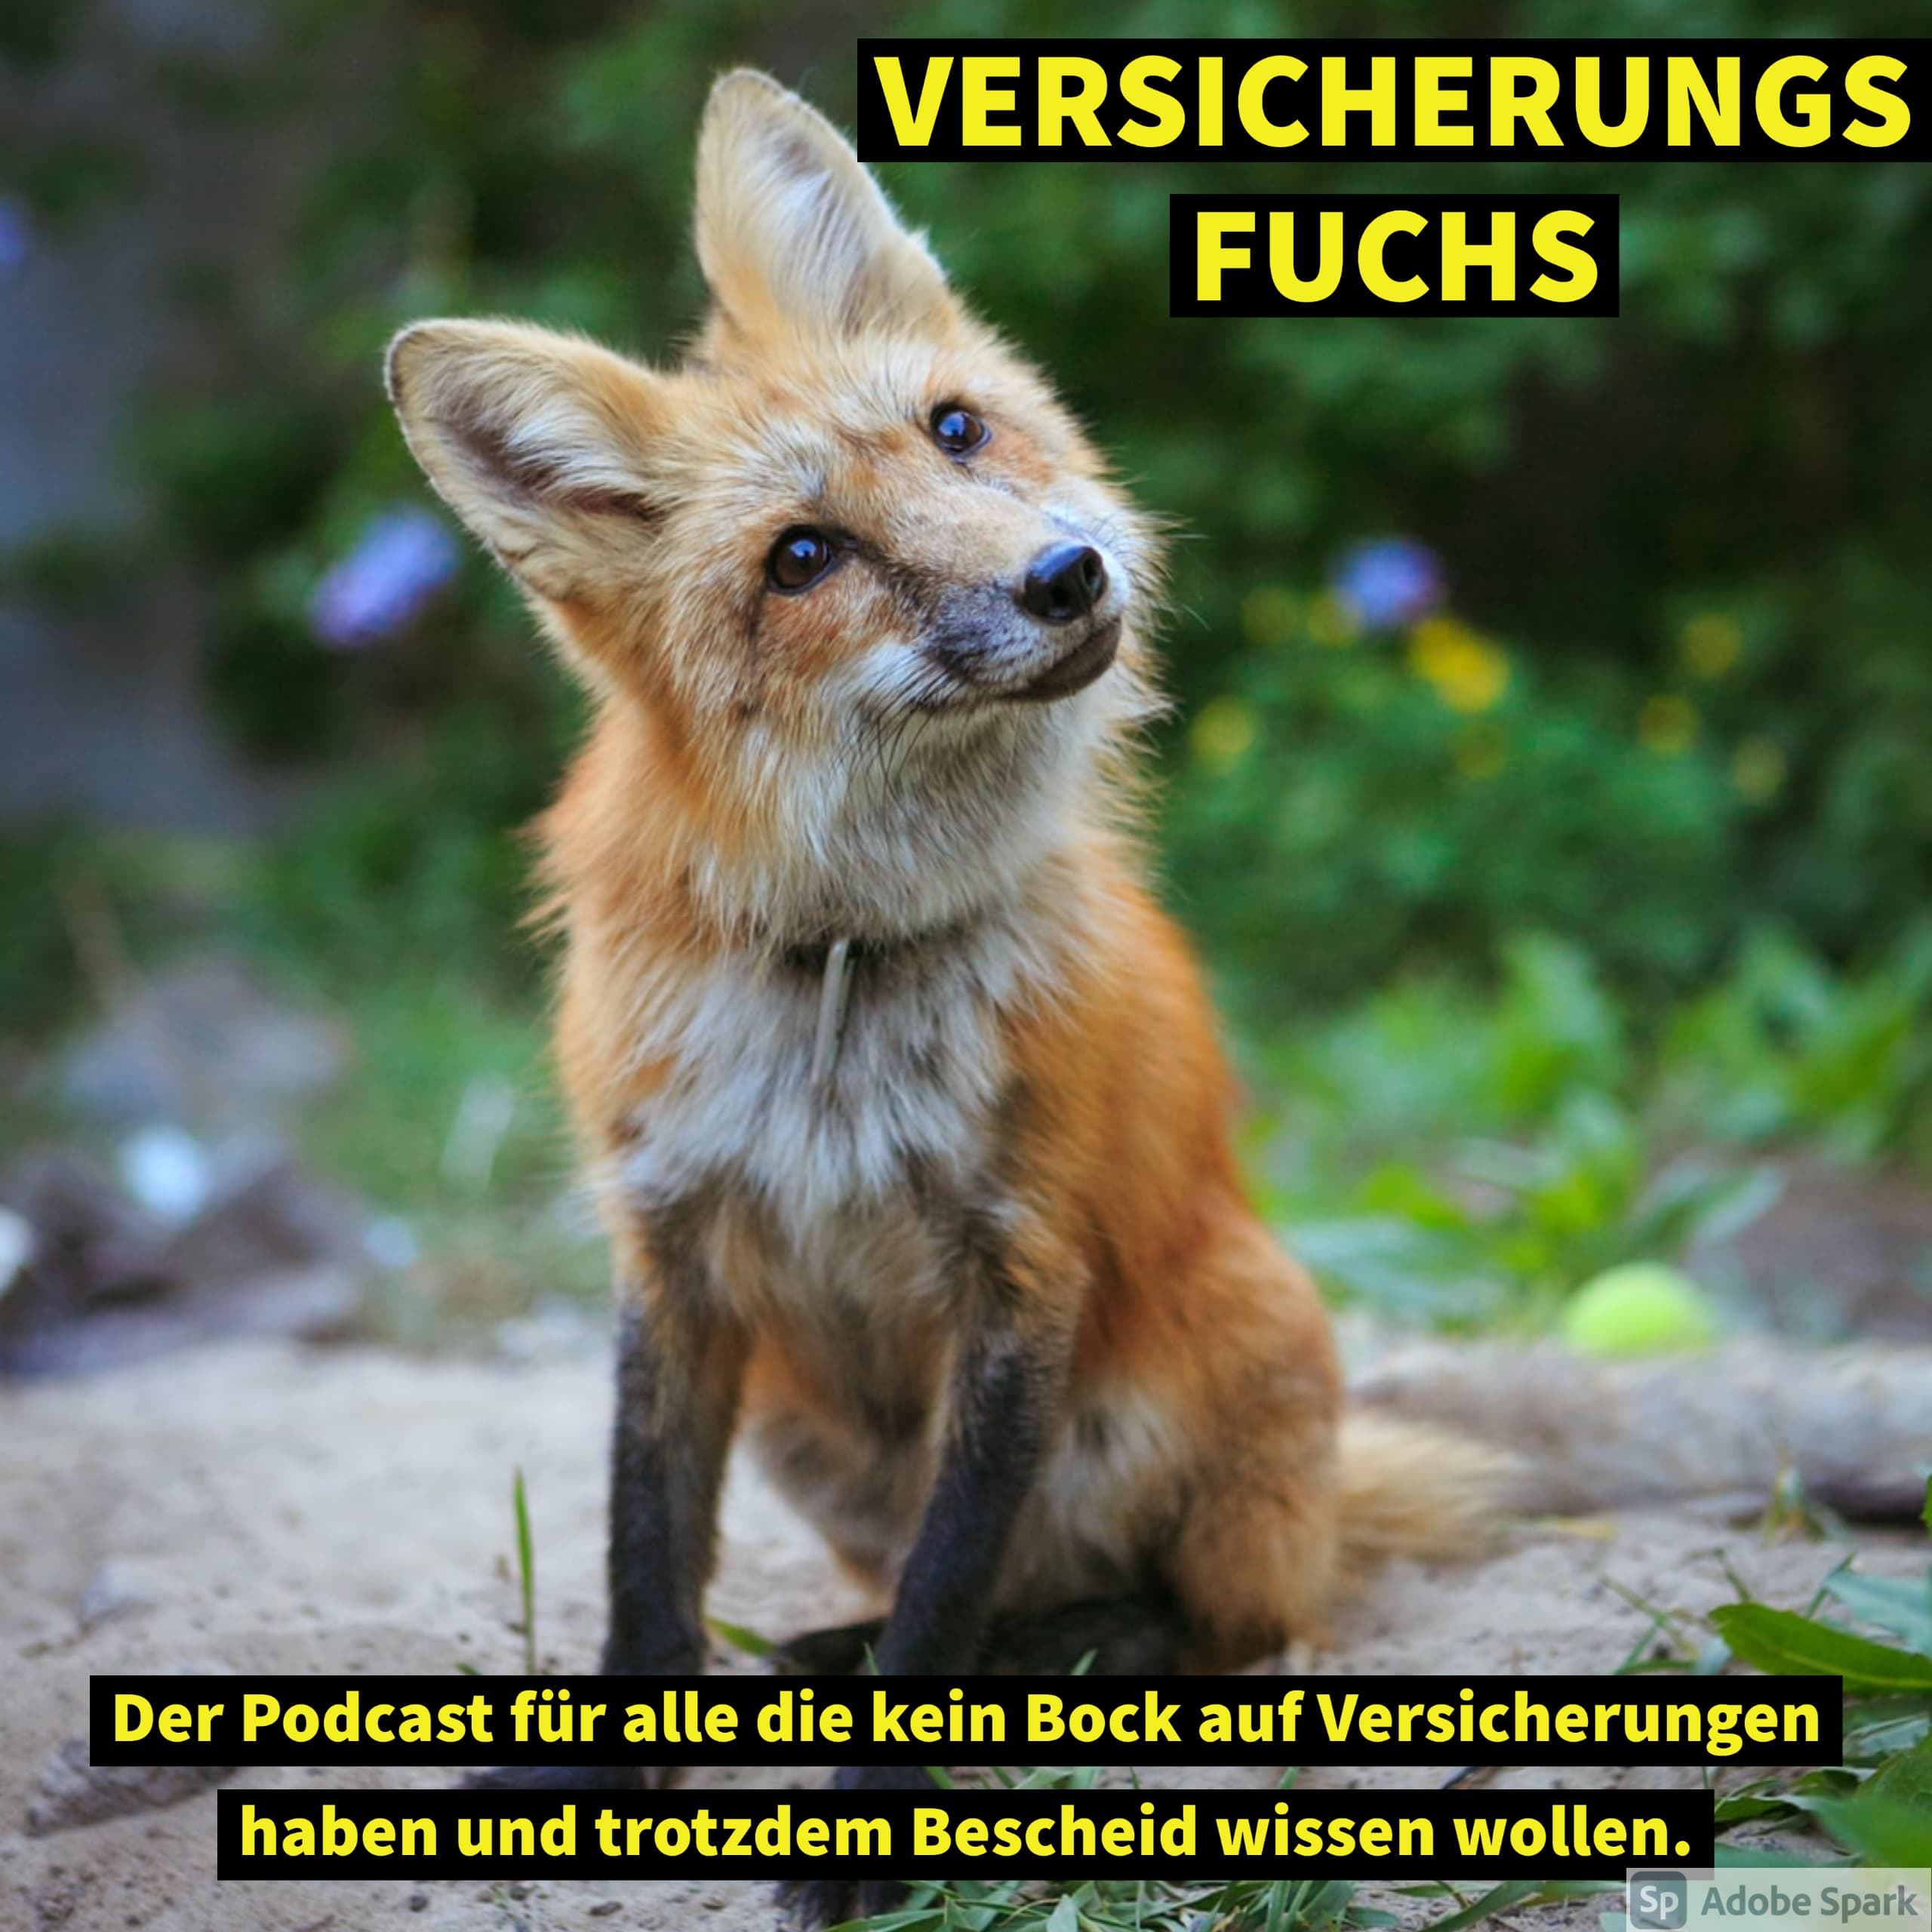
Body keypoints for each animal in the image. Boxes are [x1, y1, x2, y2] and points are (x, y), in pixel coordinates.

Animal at [386, 68, 1505, 1926]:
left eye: (959, 430)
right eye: (801, 557)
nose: (1065, 578)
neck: (842, 967)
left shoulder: (1019, 1268)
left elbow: (942, 1609)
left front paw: (875, 1825)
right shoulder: (670, 1250)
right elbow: (644, 1563)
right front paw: (610, 1769)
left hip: (1204, 1370)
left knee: (1206, 1622)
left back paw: (1074, 1655)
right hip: (808, 1424)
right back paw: (831, 1647)